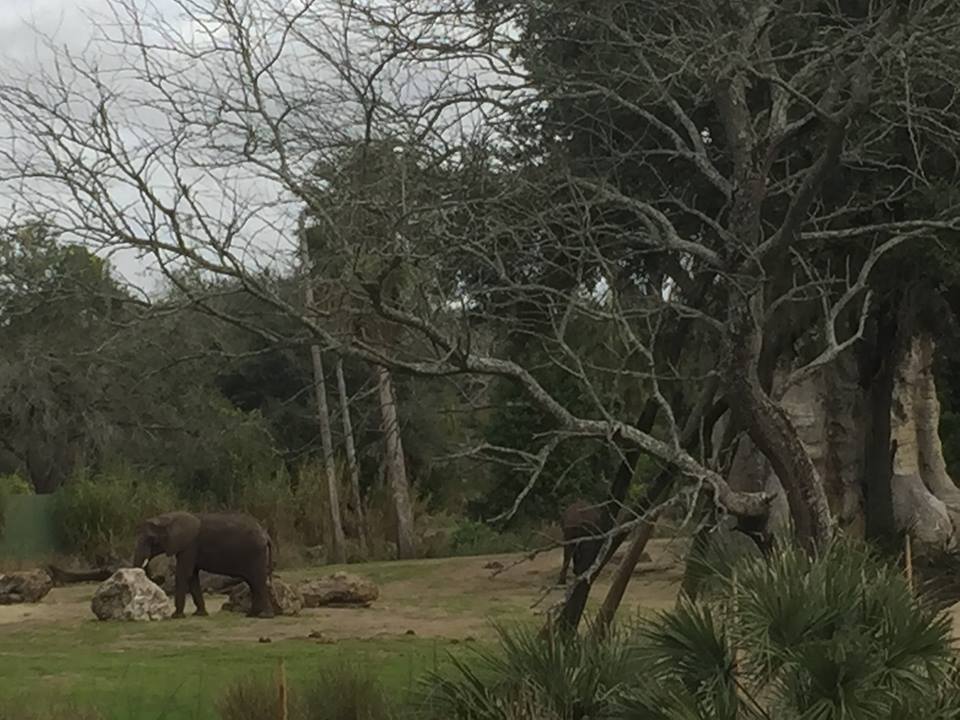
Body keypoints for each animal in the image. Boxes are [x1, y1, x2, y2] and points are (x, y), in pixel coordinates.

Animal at [132, 511, 274, 619]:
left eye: (152, 539)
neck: (169, 518)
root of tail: (266, 535)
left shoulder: (189, 546)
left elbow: (183, 574)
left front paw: (176, 616)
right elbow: (192, 576)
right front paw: (200, 614)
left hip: (255, 554)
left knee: (258, 581)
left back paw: (264, 616)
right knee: (253, 582)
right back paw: (251, 615)